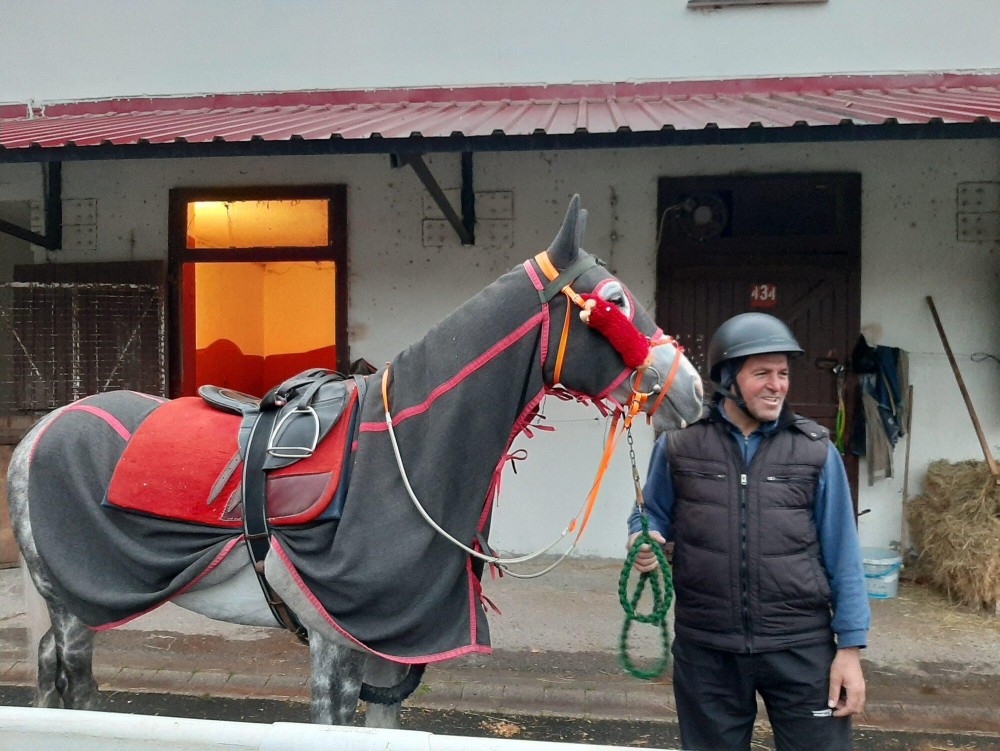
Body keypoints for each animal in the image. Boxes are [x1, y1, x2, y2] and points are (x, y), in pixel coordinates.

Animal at [5, 194, 704, 728]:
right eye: (614, 299)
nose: (692, 390)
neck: (395, 460)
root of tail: (40, 431)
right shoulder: (333, 647)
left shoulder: (388, 653)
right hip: (74, 605)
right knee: (76, 686)